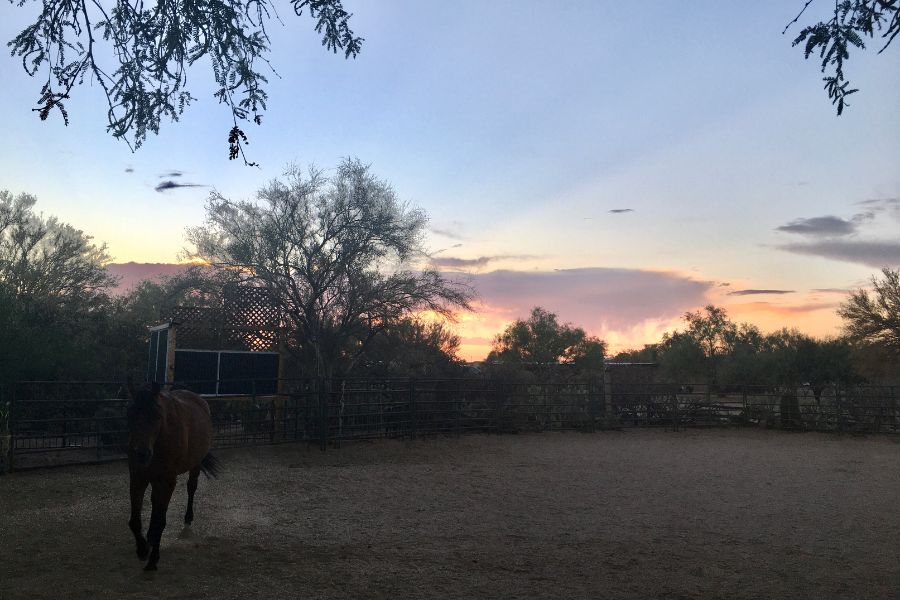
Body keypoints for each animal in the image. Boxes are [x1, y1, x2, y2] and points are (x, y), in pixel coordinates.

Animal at [125, 382, 221, 568]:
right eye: (130, 414)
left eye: (157, 416)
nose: (141, 454)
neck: (159, 441)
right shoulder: (138, 478)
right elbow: (134, 521)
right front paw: (142, 549)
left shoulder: (168, 481)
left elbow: (161, 521)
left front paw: (153, 559)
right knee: (155, 503)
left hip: (194, 465)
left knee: (191, 488)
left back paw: (188, 519)